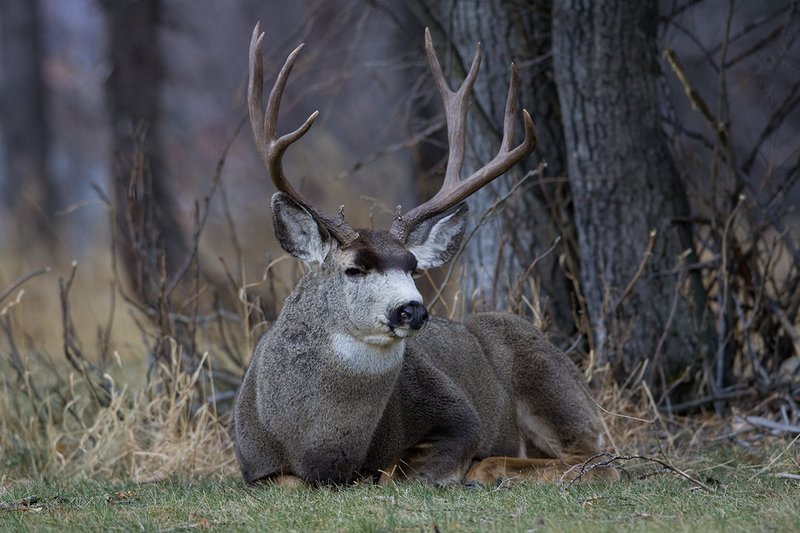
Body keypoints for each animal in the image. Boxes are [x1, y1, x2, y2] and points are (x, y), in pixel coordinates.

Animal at [234, 22, 616, 487]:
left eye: (413, 266)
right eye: (354, 269)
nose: (412, 309)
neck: (319, 450)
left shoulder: (458, 415)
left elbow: (396, 473)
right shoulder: (252, 466)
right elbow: (290, 481)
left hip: (540, 367)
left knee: (599, 460)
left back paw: (489, 468)